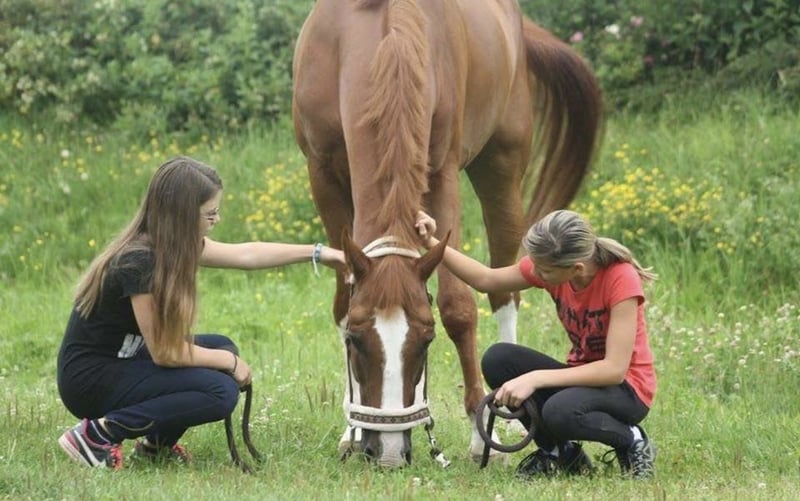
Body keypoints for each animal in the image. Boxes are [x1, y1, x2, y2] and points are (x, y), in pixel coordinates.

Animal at [292, 0, 602, 468]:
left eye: (425, 341)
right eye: (356, 342)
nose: (388, 452)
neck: (382, 40)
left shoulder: (442, 175)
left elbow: (459, 307)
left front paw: (479, 431)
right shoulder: (322, 173)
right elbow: (344, 302)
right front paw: (350, 430)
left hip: (502, 165)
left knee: (504, 290)